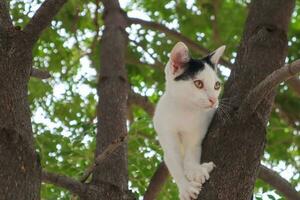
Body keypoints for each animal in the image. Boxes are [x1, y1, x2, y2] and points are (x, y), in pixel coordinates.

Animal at [152, 42, 225, 200]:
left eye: (217, 85)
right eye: (198, 84)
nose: (214, 100)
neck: (185, 111)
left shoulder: (199, 130)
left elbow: (191, 150)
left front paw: (194, 170)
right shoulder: (166, 132)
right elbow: (174, 161)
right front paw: (185, 187)